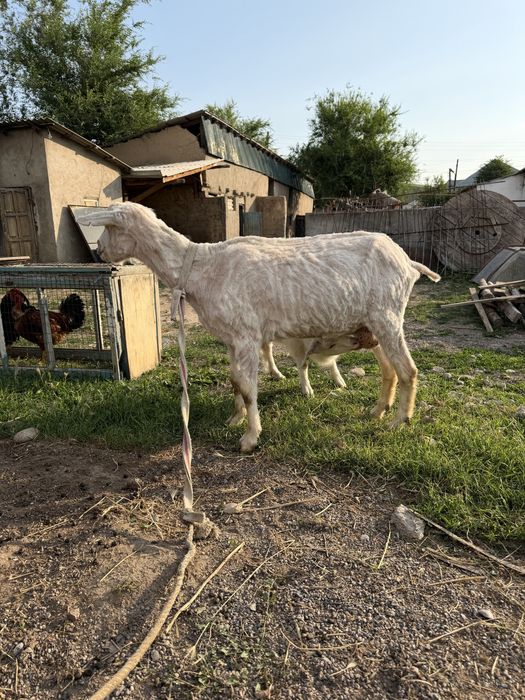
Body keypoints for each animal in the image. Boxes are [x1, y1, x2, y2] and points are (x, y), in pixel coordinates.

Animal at [78, 202, 440, 453]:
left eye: (108, 228)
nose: (99, 251)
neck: (199, 267)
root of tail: (408, 262)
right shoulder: (232, 339)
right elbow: (235, 381)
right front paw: (235, 417)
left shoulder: (246, 336)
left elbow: (249, 387)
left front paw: (250, 438)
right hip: (371, 323)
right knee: (389, 370)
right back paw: (378, 411)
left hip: (388, 315)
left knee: (408, 370)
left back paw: (398, 422)